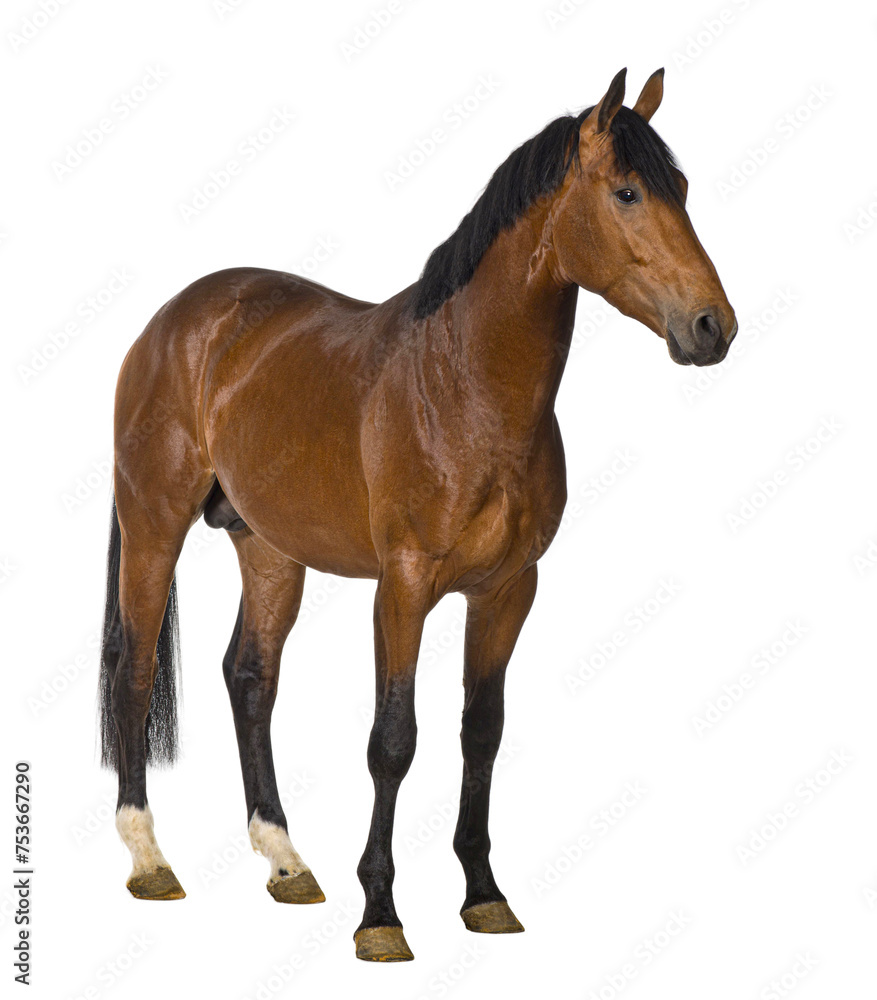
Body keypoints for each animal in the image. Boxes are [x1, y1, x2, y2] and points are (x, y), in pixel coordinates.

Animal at [98, 67, 736, 962]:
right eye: (627, 192)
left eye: (681, 189)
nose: (713, 326)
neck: (464, 389)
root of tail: (175, 321)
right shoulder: (401, 587)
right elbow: (393, 741)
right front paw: (380, 915)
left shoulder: (506, 590)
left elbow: (482, 731)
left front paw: (484, 895)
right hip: (153, 526)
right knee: (133, 668)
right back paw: (150, 859)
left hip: (269, 550)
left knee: (249, 678)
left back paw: (286, 861)